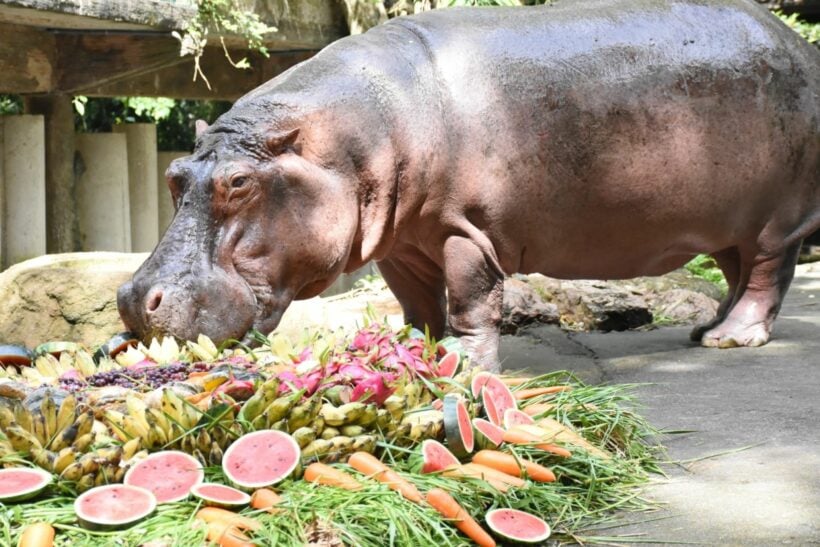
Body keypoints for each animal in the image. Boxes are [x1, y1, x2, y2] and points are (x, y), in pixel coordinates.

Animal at [117, 0, 820, 372]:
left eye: (239, 181)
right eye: (175, 176)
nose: (131, 298)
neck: (359, 130)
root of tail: (800, 45)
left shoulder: (468, 229)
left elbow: (471, 304)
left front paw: (466, 368)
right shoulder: (400, 242)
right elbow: (416, 305)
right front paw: (407, 352)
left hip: (775, 214)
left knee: (766, 271)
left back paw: (733, 338)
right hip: (727, 219)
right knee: (735, 270)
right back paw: (708, 329)